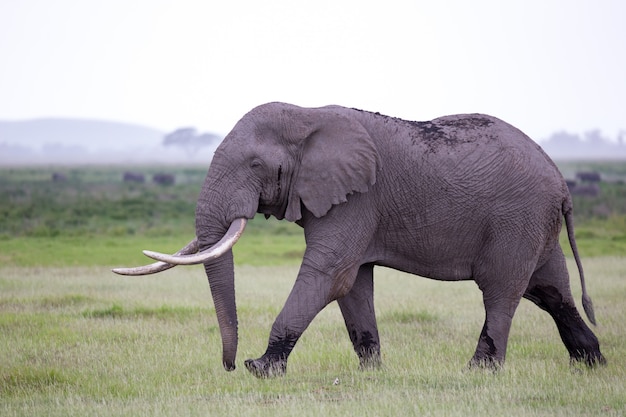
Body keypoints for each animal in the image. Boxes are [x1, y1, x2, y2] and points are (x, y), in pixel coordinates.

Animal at [113, 101, 604, 376]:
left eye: (254, 165)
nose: (229, 366)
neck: (308, 116)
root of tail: (562, 182)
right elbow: (353, 284)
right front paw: (372, 373)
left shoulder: (357, 198)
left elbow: (328, 273)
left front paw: (261, 370)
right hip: (536, 224)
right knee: (551, 291)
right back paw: (591, 363)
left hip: (516, 220)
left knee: (502, 291)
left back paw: (479, 373)